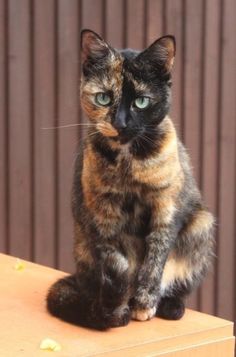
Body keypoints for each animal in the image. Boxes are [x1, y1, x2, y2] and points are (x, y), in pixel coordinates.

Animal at [47, 29, 215, 330]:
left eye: (141, 101)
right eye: (103, 98)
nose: (121, 123)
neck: (128, 162)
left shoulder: (166, 208)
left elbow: (155, 259)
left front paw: (144, 303)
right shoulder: (101, 212)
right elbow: (113, 256)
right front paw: (119, 308)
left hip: (201, 225)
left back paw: (170, 306)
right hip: (83, 247)